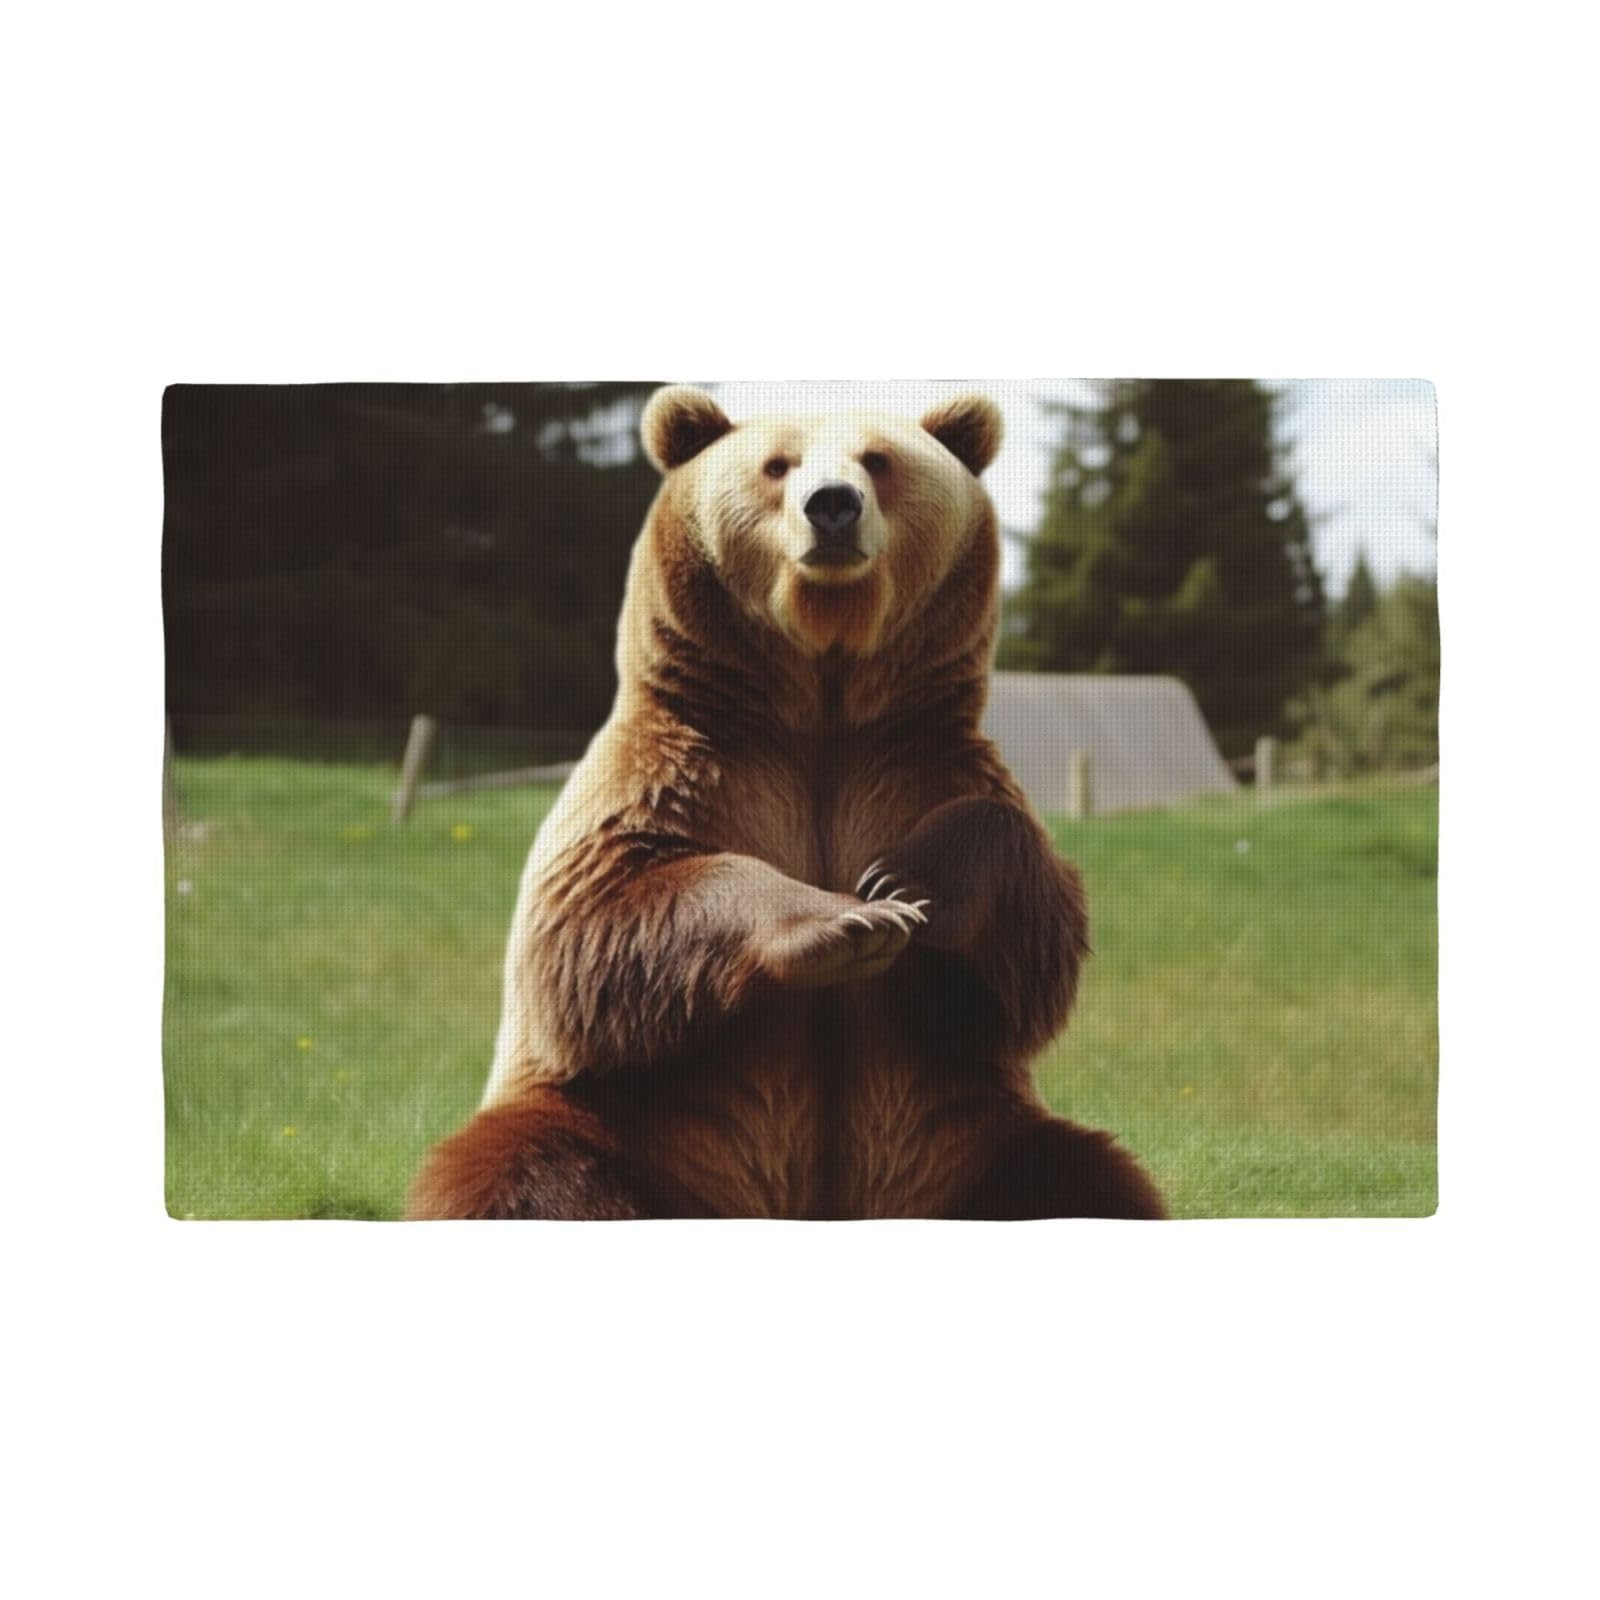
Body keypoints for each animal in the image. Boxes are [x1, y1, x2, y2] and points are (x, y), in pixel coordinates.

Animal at [407, 385, 1165, 1220]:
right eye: (778, 465)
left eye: (879, 459)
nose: (832, 505)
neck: (818, 706)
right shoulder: (683, 770)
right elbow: (593, 921)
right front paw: (851, 921)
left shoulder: (916, 765)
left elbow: (1028, 955)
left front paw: (904, 882)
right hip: (624, 1127)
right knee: (524, 1169)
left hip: (969, 1144)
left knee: (1087, 1176)